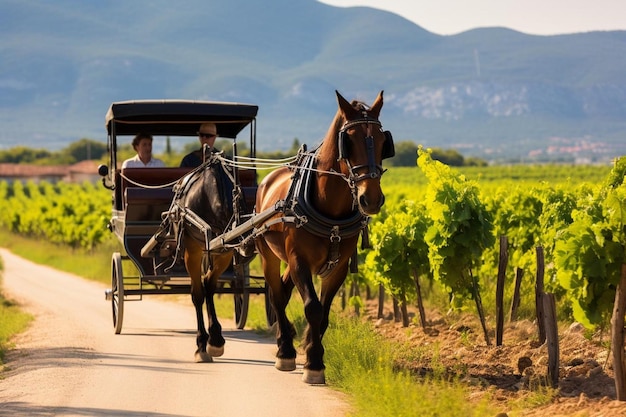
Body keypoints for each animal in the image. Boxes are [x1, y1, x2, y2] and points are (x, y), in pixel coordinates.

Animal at [252, 89, 390, 382]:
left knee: (283, 289)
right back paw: (285, 350)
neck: (331, 210)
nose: (371, 199)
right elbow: (312, 308)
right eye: (348, 141)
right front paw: (313, 363)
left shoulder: (338, 267)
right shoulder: (299, 260)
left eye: (383, 140)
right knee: (276, 295)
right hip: (268, 253)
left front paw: (312, 353)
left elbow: (324, 312)